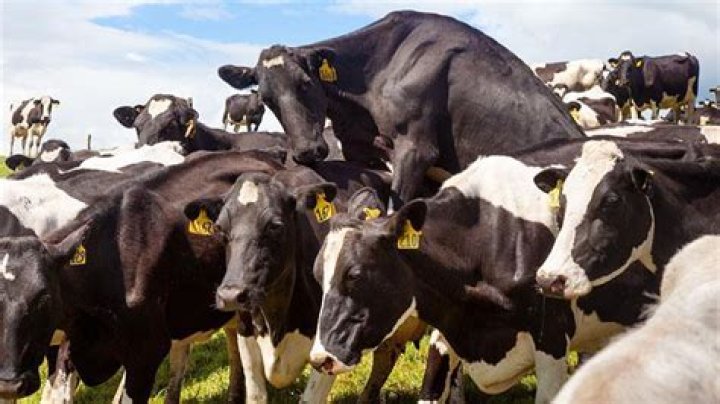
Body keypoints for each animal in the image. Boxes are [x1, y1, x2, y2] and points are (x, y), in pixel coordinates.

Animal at [185, 162, 425, 402]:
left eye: (275, 225)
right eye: (219, 228)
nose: (231, 295)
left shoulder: (329, 347)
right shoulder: (246, 333)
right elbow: (256, 394)